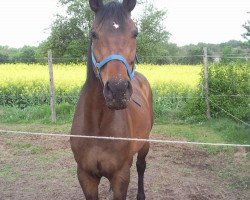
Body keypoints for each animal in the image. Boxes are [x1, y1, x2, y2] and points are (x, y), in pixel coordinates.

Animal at [69, 0, 153, 199]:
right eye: (93, 33)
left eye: (135, 33)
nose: (117, 90)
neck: (98, 128)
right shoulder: (85, 176)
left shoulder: (121, 176)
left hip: (145, 142)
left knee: (141, 166)